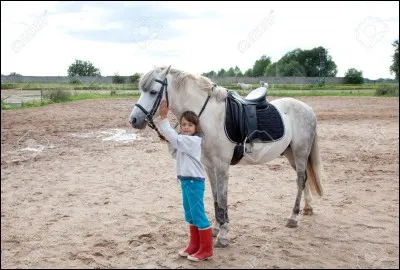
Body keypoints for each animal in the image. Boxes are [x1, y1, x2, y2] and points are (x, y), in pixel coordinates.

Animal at [130, 65, 324, 247]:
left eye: (153, 91)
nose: (133, 120)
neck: (209, 117)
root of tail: (308, 109)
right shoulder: (209, 165)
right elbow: (216, 196)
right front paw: (216, 228)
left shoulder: (222, 165)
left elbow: (223, 198)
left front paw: (223, 236)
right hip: (292, 154)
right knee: (304, 178)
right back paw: (308, 208)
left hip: (300, 152)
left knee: (300, 180)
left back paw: (294, 217)